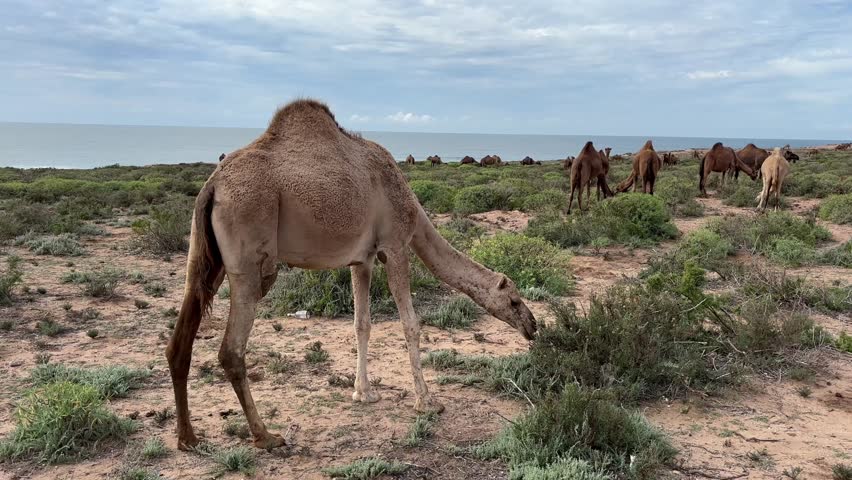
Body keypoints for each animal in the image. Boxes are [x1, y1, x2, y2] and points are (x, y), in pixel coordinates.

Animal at [166, 100, 537, 451]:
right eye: (515, 301)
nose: (533, 326)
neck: (414, 211)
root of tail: (212, 186)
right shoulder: (395, 246)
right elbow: (410, 324)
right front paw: (427, 402)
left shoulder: (363, 260)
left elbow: (362, 324)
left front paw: (364, 393)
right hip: (248, 252)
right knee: (231, 349)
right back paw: (266, 437)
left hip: (205, 256)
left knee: (180, 339)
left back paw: (188, 438)